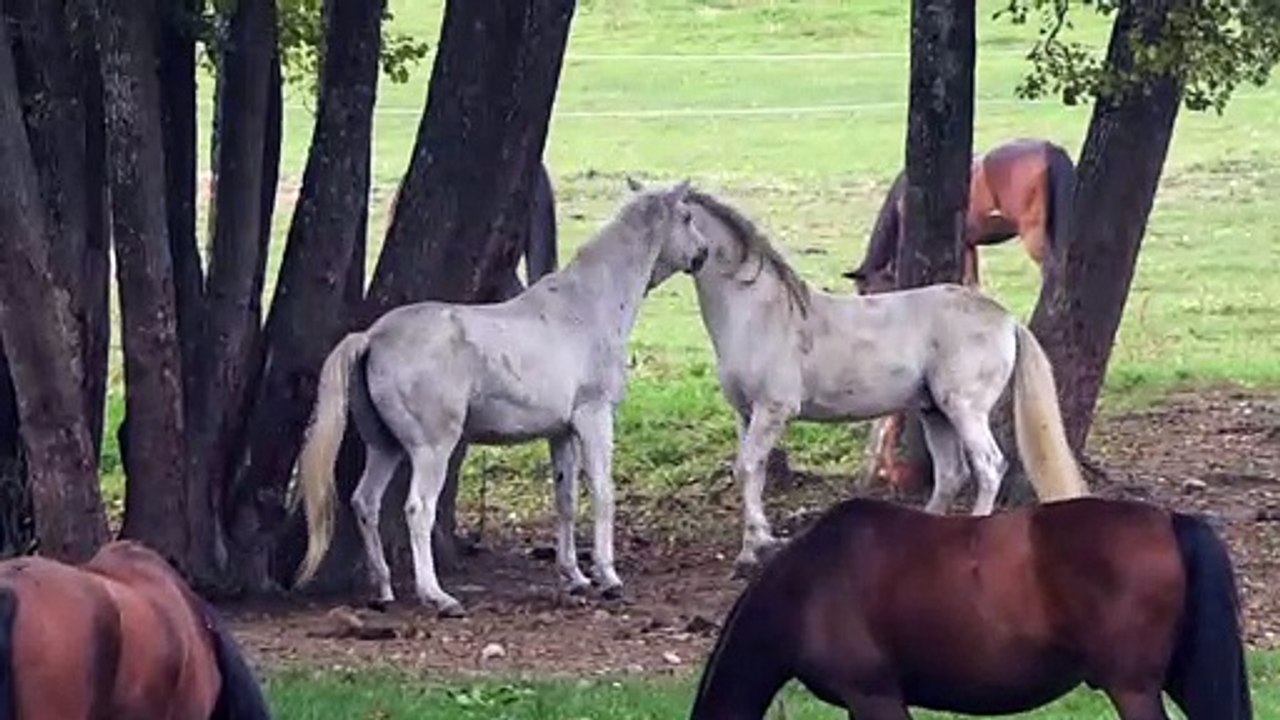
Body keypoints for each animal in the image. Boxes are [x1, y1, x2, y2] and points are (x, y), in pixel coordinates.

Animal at [294, 181, 710, 617]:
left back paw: (384, 589)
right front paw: (608, 578)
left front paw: (575, 577)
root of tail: (373, 336)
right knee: (418, 509)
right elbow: (602, 492)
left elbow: (565, 499)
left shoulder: (561, 433)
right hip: (431, 450)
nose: (703, 253)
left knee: (365, 502)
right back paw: (438, 597)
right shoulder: (594, 418)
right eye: (686, 217)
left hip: (385, 447)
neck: (584, 308)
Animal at [671, 184, 1088, 572]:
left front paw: (754, 552)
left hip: (964, 409)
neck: (762, 311)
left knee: (988, 467)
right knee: (951, 474)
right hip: (935, 413)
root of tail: (1007, 319)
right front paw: (751, 548)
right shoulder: (746, 413)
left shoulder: (773, 410)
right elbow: (751, 473)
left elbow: (746, 469)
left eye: (679, 217)